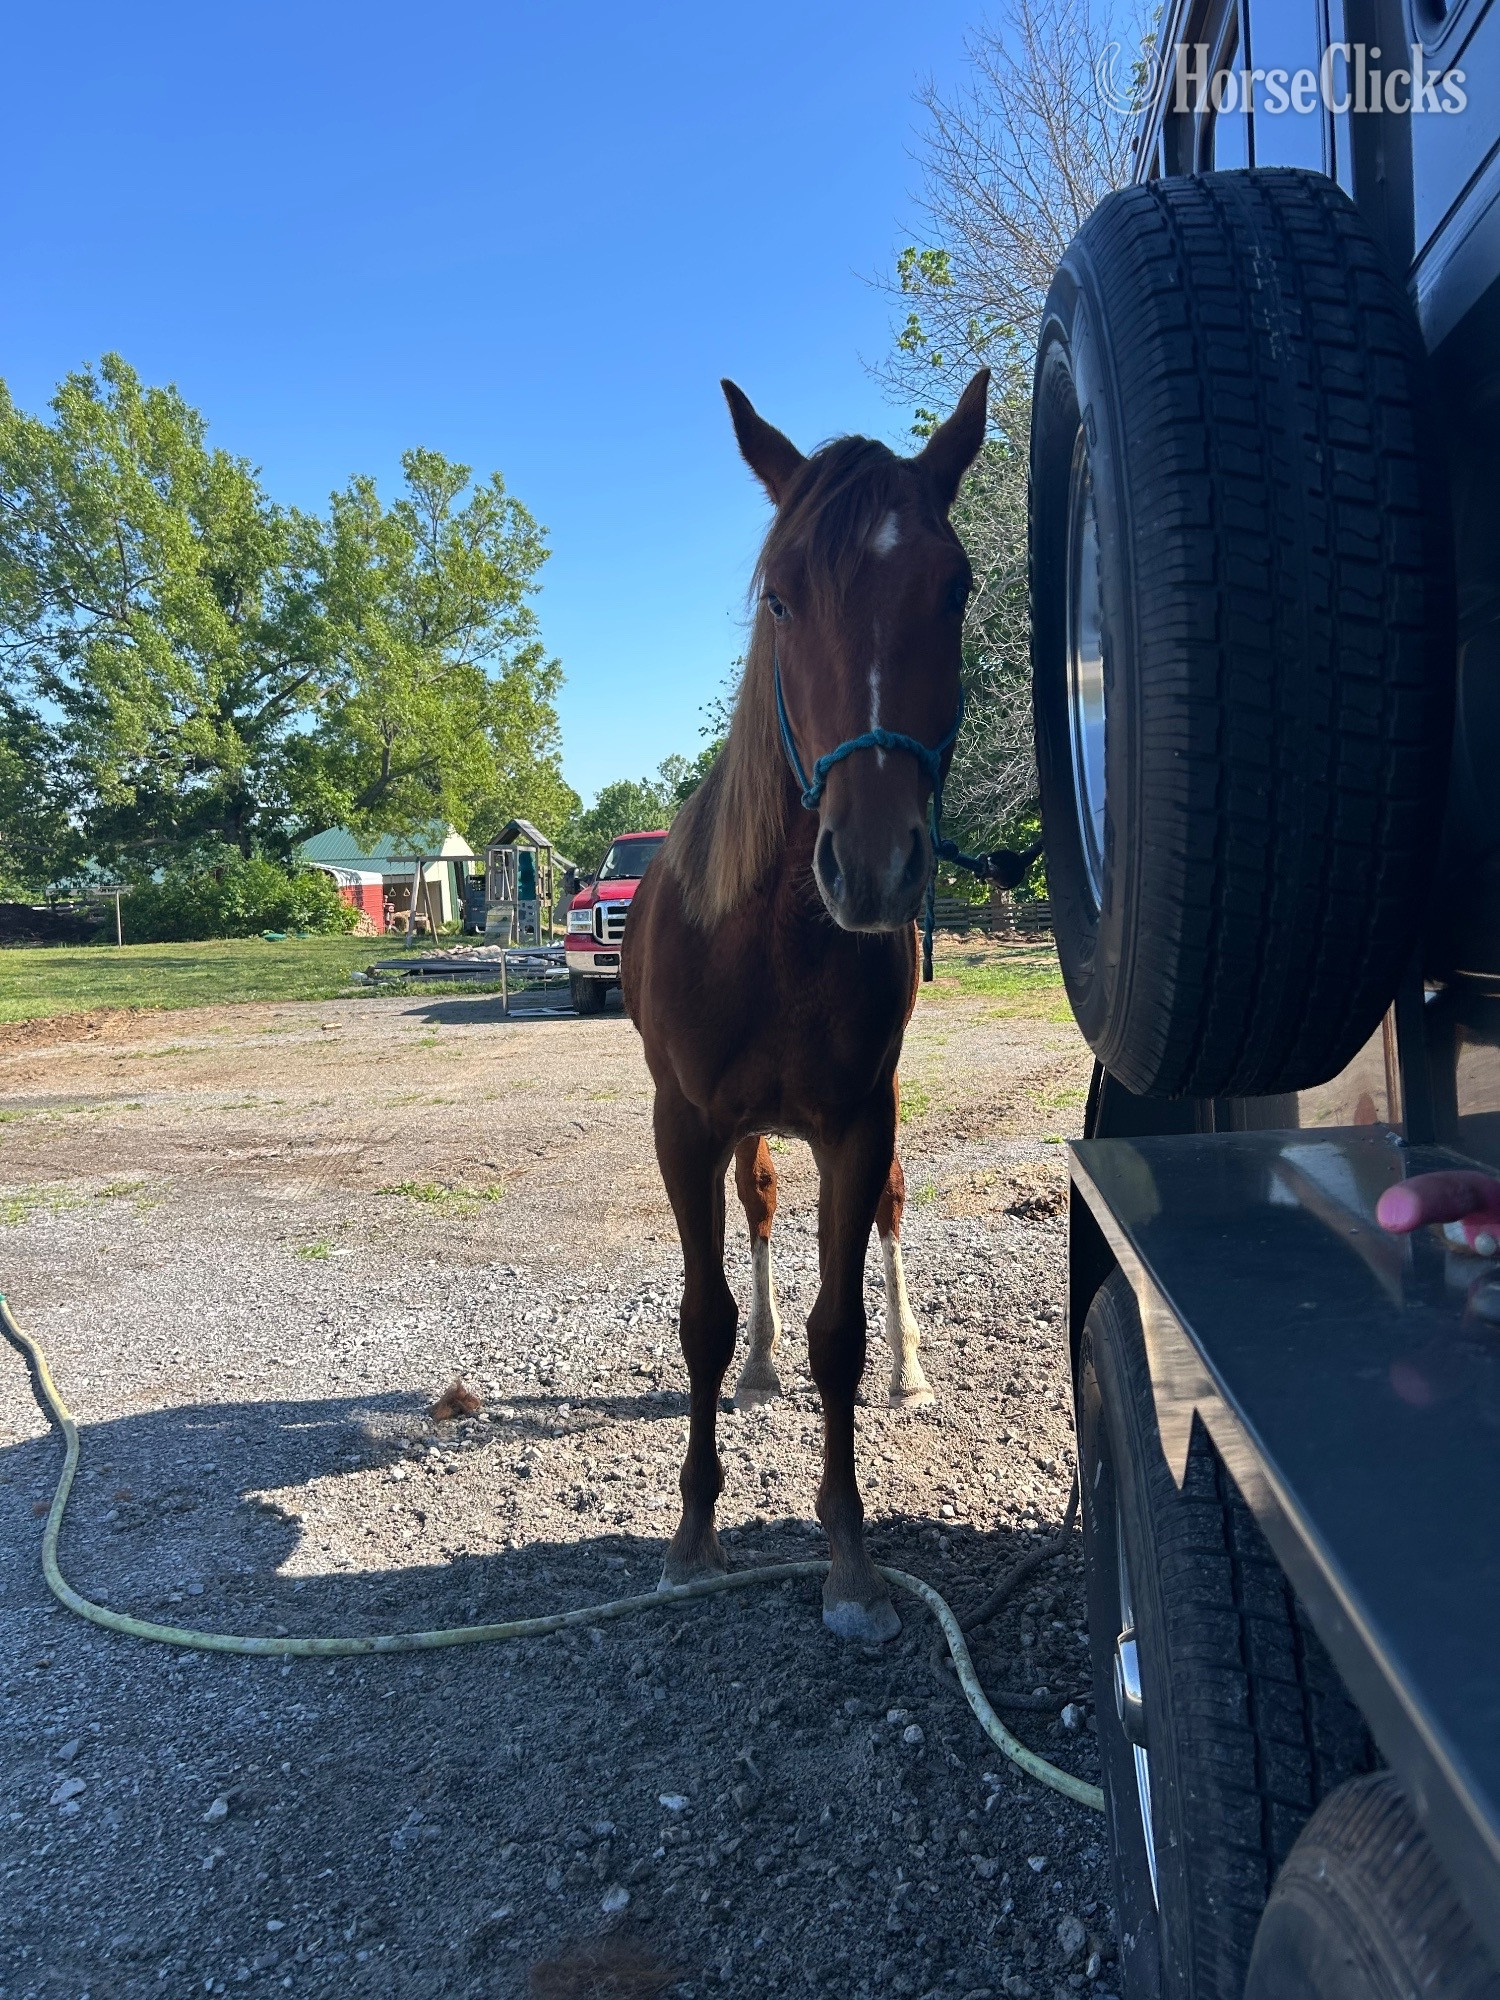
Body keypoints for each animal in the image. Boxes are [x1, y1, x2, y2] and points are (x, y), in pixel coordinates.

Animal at [620, 369, 990, 1643]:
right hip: (741, 1133)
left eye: (955, 585)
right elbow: (704, 1314)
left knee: (885, 1220)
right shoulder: (684, 1123)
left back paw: (913, 1371)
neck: (773, 934)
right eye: (780, 596)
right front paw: (691, 1534)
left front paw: (849, 1558)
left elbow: (842, 1329)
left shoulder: (857, 1120)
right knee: (760, 1217)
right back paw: (759, 1369)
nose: (873, 865)